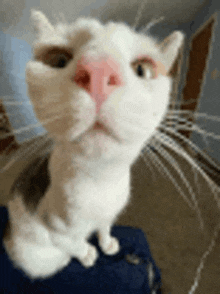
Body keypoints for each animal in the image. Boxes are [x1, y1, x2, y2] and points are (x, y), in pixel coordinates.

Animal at [2, 10, 183, 280]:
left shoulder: (110, 211)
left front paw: (106, 242)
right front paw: (87, 253)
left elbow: (105, 226)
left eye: (143, 69)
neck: (100, 182)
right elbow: (73, 243)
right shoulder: (54, 228)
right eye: (58, 60)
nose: (98, 71)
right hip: (37, 257)